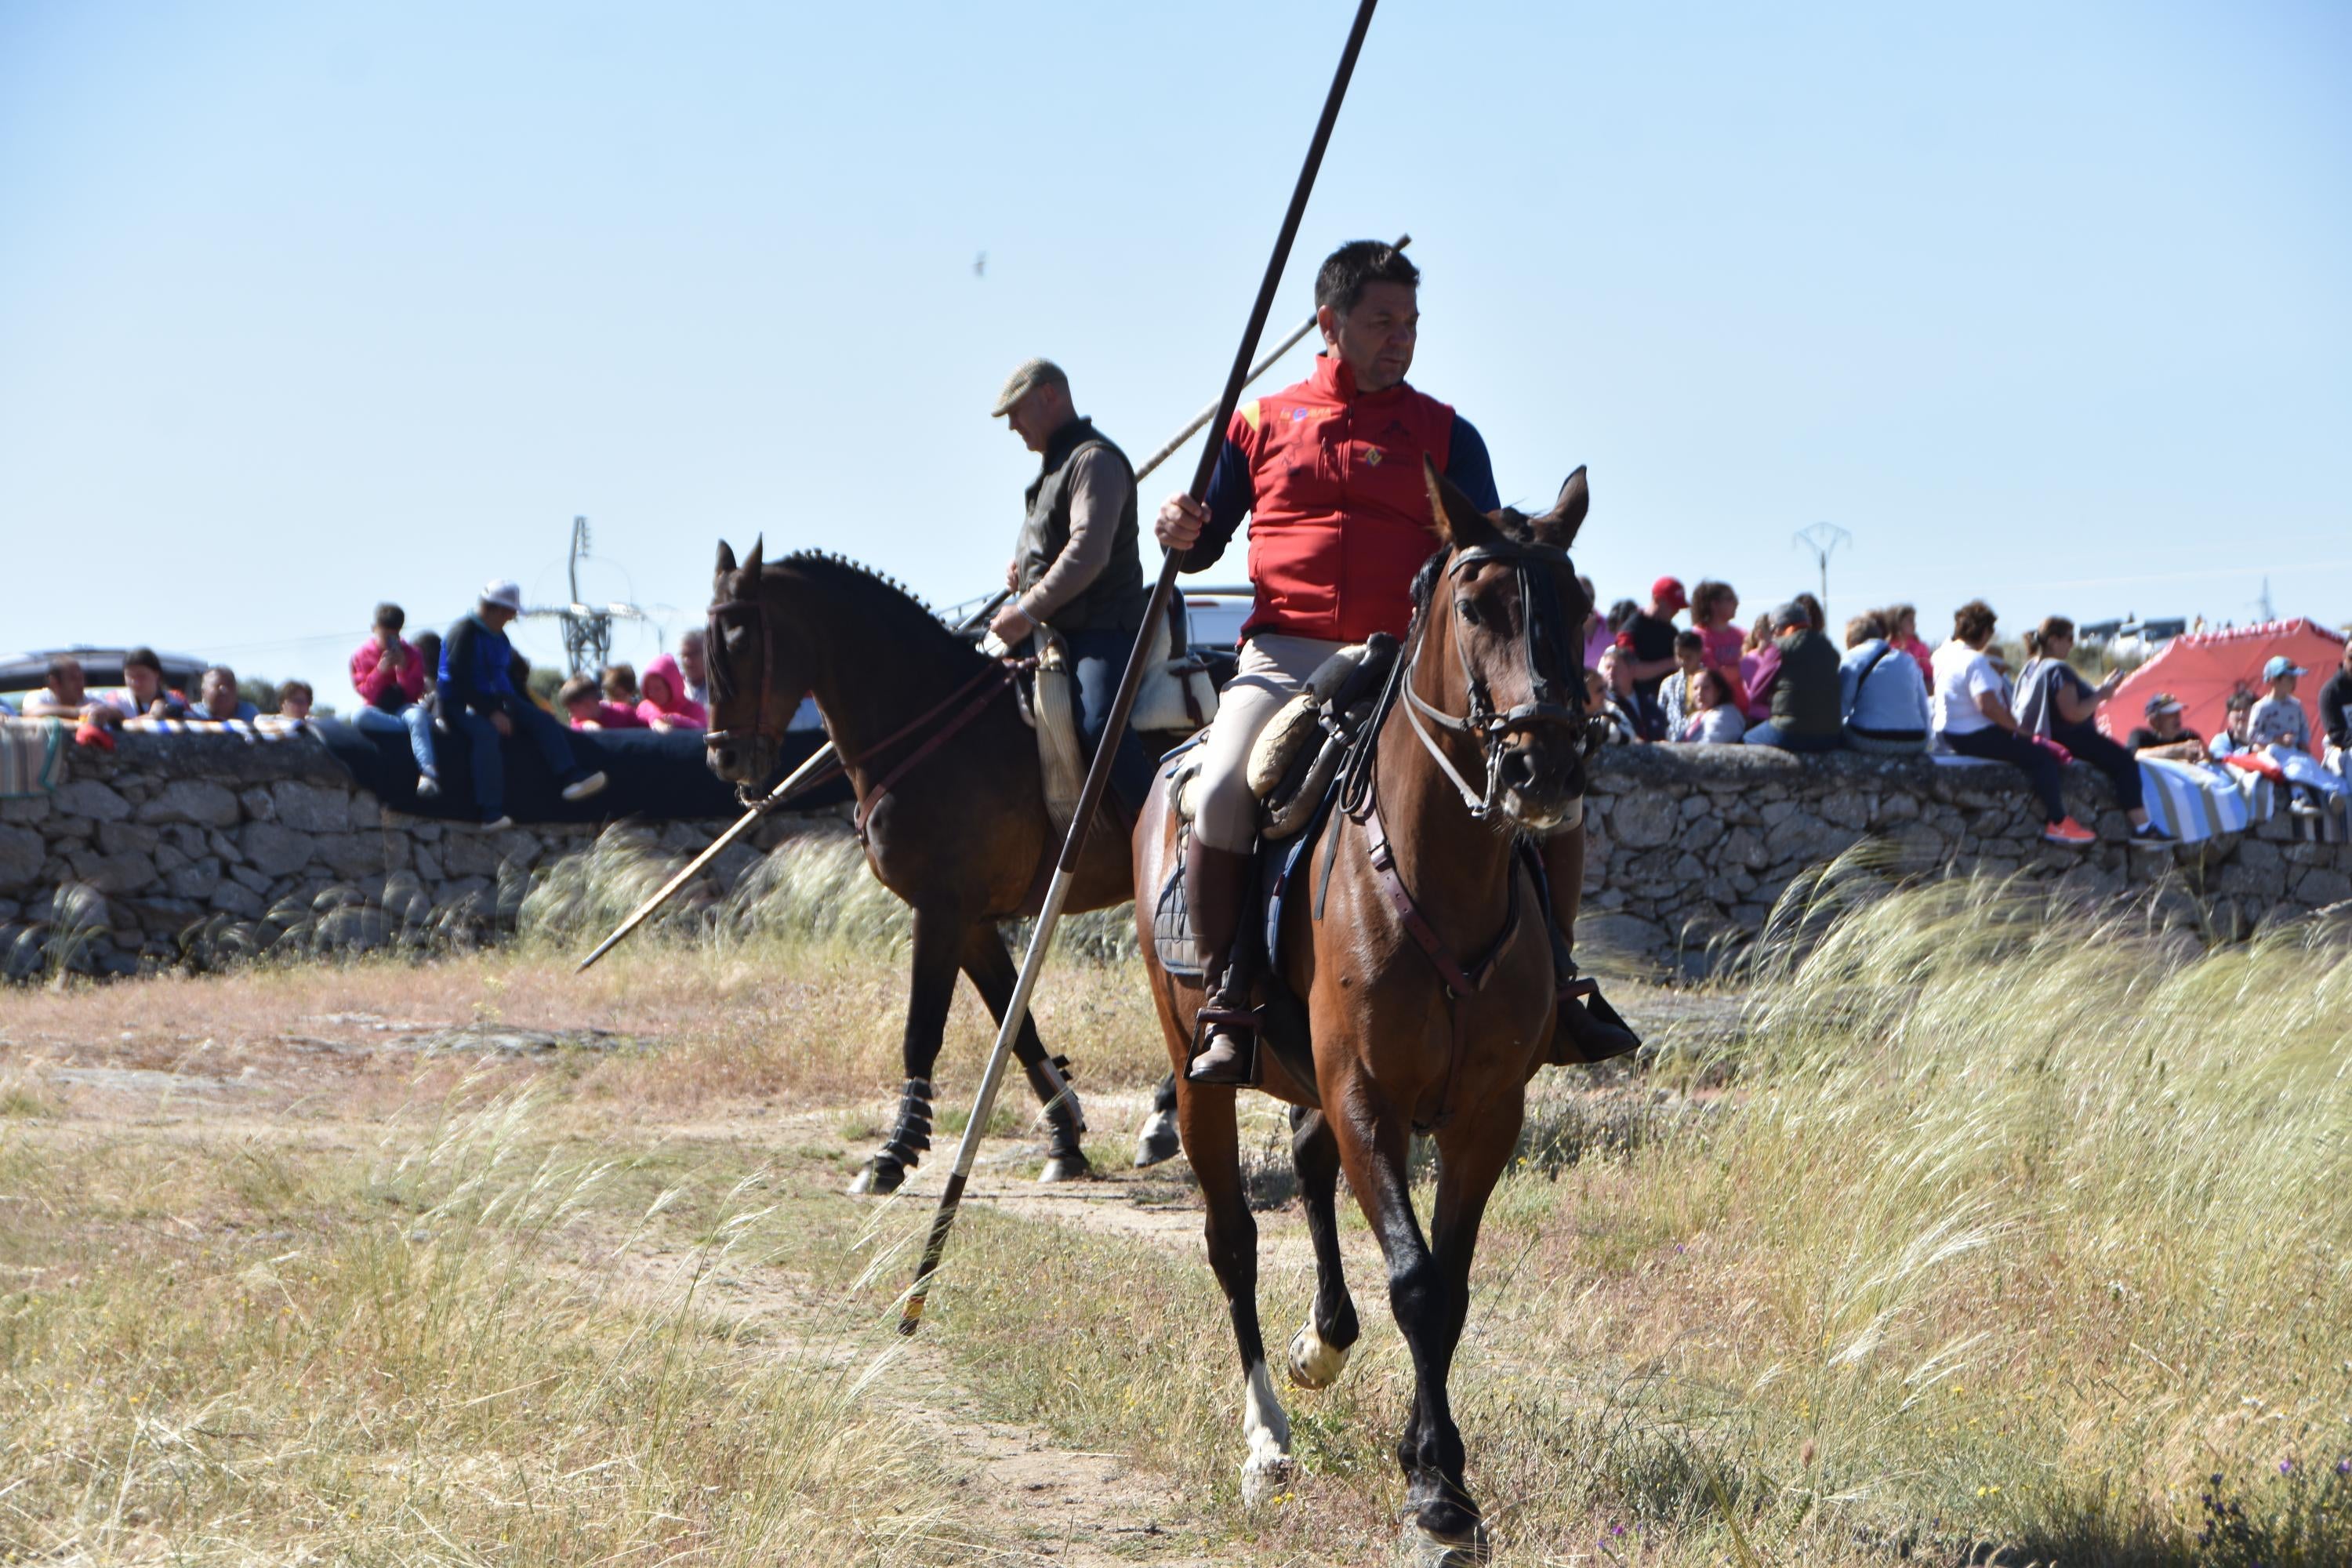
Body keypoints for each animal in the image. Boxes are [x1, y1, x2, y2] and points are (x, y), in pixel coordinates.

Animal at [696, 540, 1138, 1189]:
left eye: (742, 641)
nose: (725, 758)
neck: (930, 723)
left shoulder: (941, 911)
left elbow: (922, 1029)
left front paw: (895, 1152)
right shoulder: (972, 923)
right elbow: (1016, 1024)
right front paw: (1064, 1136)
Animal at [1134, 460, 1599, 1561]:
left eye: (1582, 605)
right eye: (1477, 605)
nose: (1546, 767)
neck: (1441, 875)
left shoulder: (1484, 1115)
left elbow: (1450, 1285)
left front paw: (1438, 1473)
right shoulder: (1366, 1096)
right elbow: (1418, 1280)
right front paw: (1435, 1490)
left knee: (1307, 1171)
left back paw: (1323, 1342)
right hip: (1197, 1072)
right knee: (1231, 1239)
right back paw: (1266, 1439)